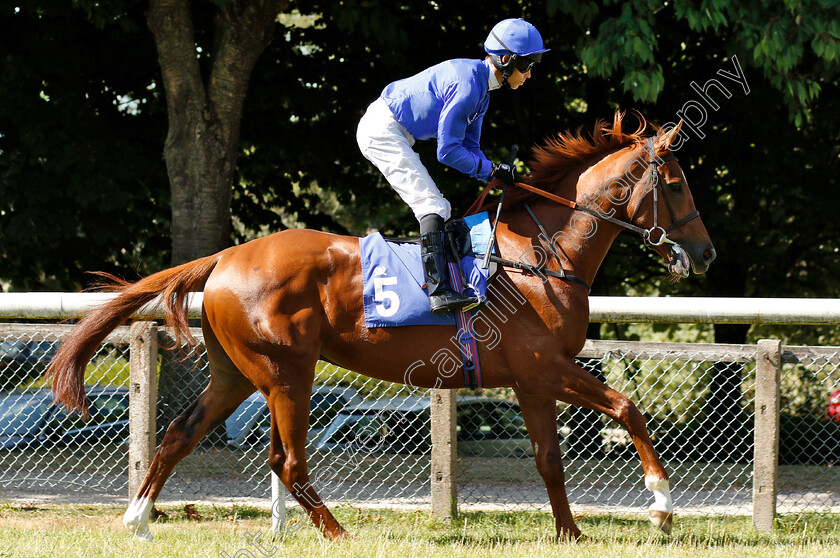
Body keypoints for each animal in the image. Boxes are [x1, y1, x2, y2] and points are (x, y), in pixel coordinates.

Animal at [47, 114, 716, 544]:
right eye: (677, 182)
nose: (705, 254)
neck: (540, 258)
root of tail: (226, 257)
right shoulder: (545, 367)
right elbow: (627, 407)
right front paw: (661, 505)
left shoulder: (531, 381)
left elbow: (550, 459)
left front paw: (571, 533)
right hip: (286, 371)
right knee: (288, 460)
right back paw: (338, 532)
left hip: (236, 372)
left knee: (181, 434)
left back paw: (138, 520)